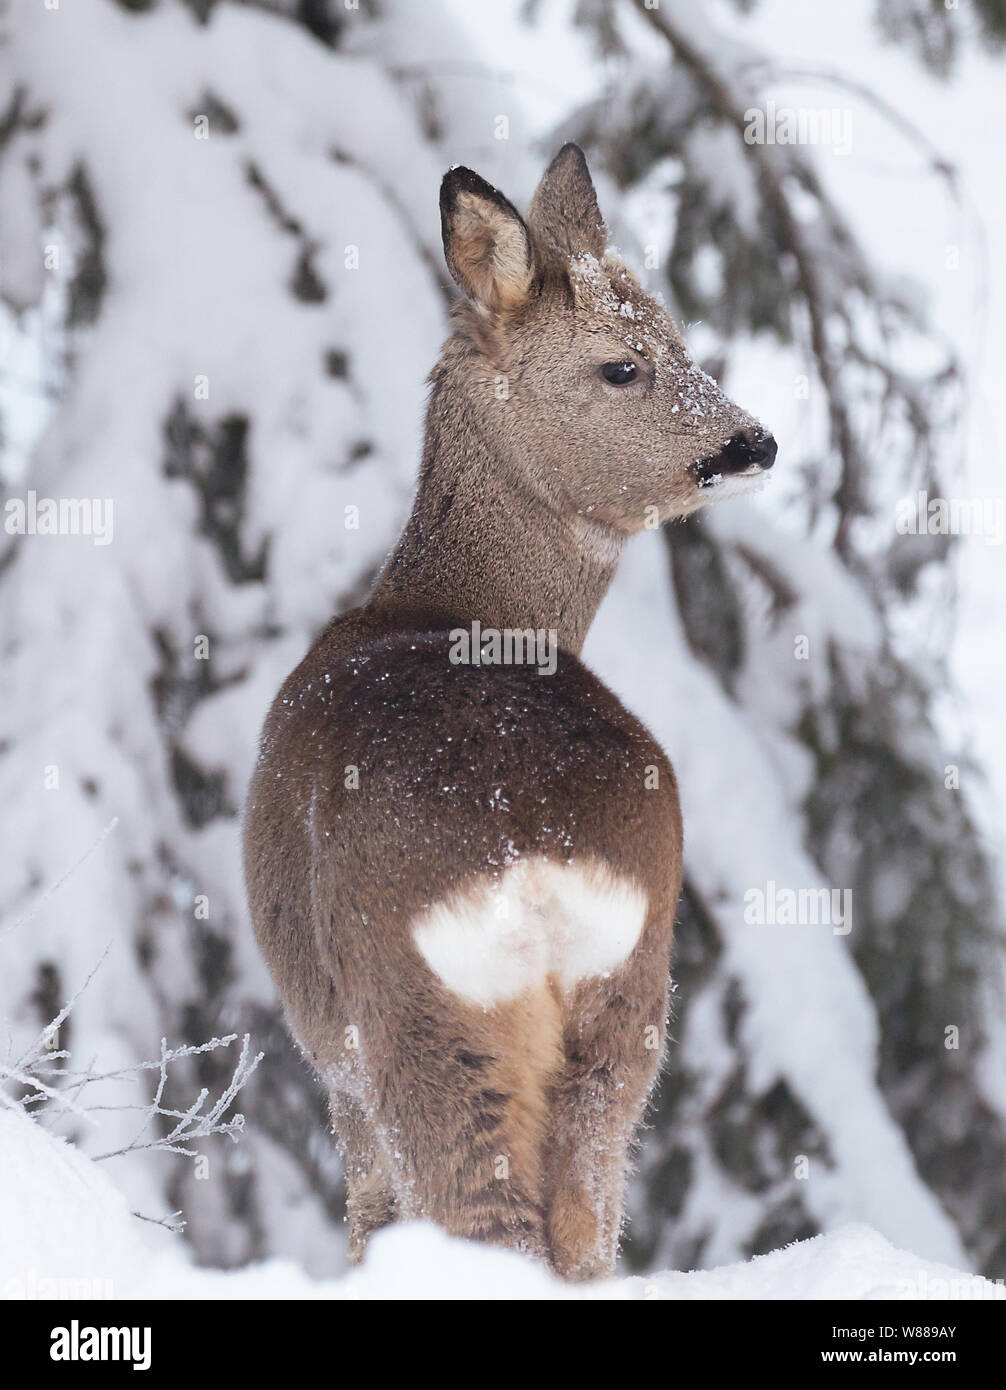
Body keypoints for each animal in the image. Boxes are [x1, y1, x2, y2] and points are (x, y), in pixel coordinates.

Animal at [245, 143, 778, 1278]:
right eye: (627, 362)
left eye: (675, 339)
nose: (752, 443)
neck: (445, 601)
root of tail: (534, 851)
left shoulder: (335, 1066)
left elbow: (364, 1219)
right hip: (630, 1012)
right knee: (584, 1229)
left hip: (416, 1017)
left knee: (481, 1226)